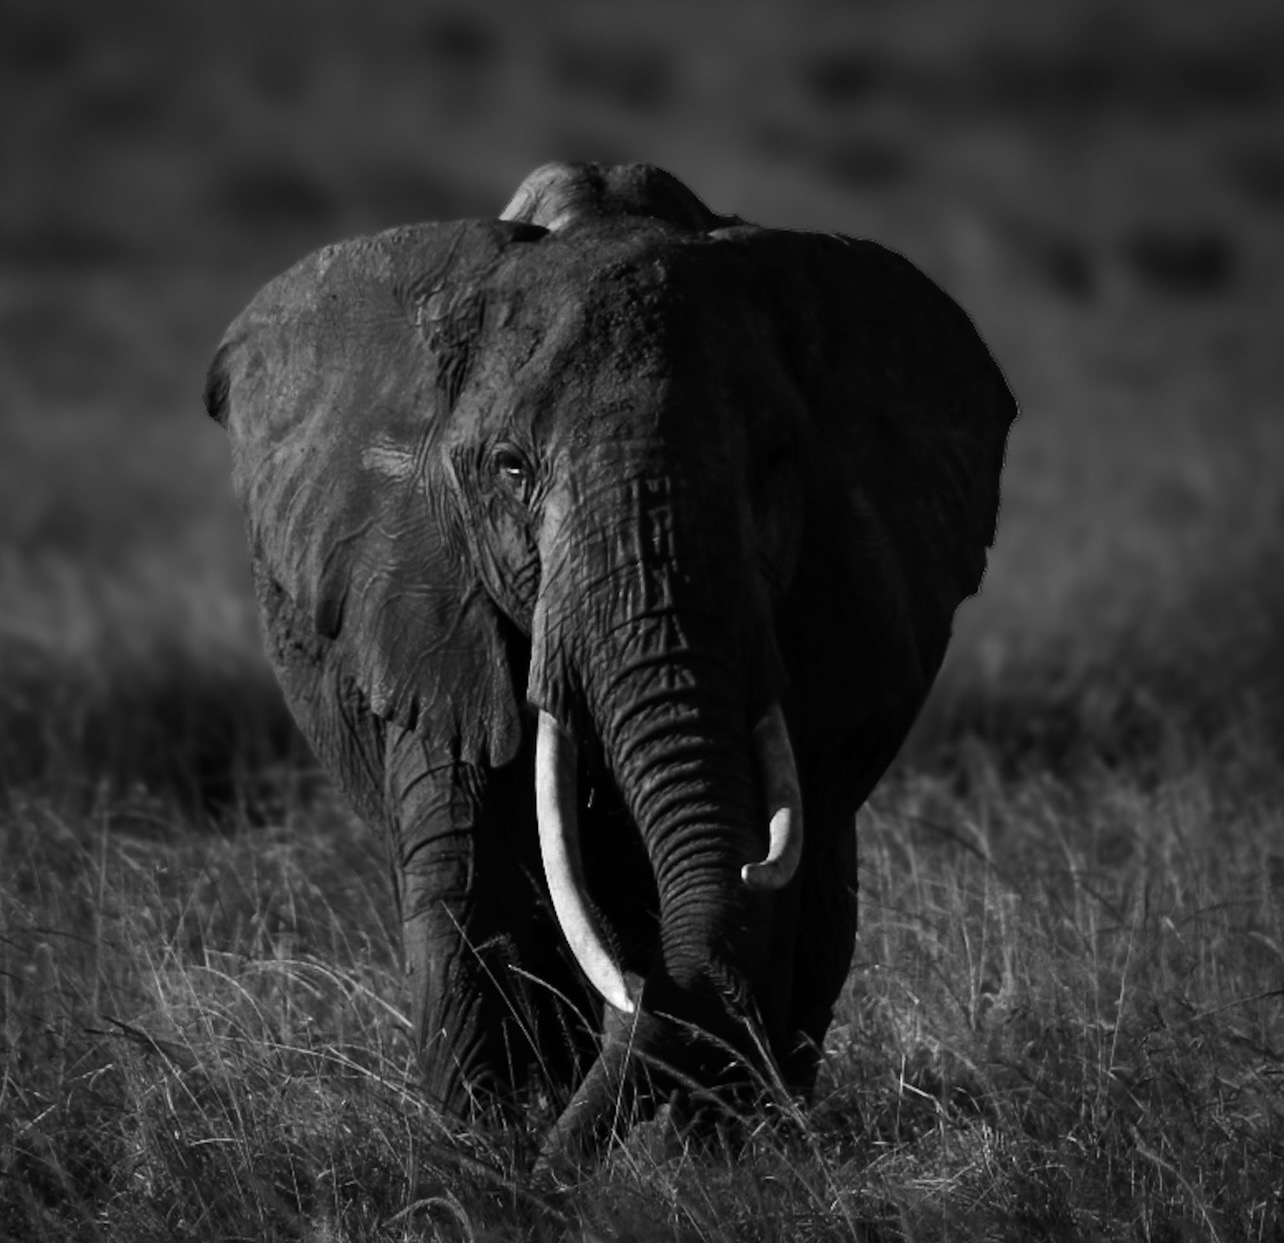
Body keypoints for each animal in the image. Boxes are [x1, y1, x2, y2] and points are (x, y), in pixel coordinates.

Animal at [203, 160, 1016, 1162]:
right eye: (511, 468)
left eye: (774, 463)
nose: (650, 981)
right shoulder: (425, 592)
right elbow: (471, 881)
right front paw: (486, 1151)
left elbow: (774, 899)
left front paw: (707, 1159)